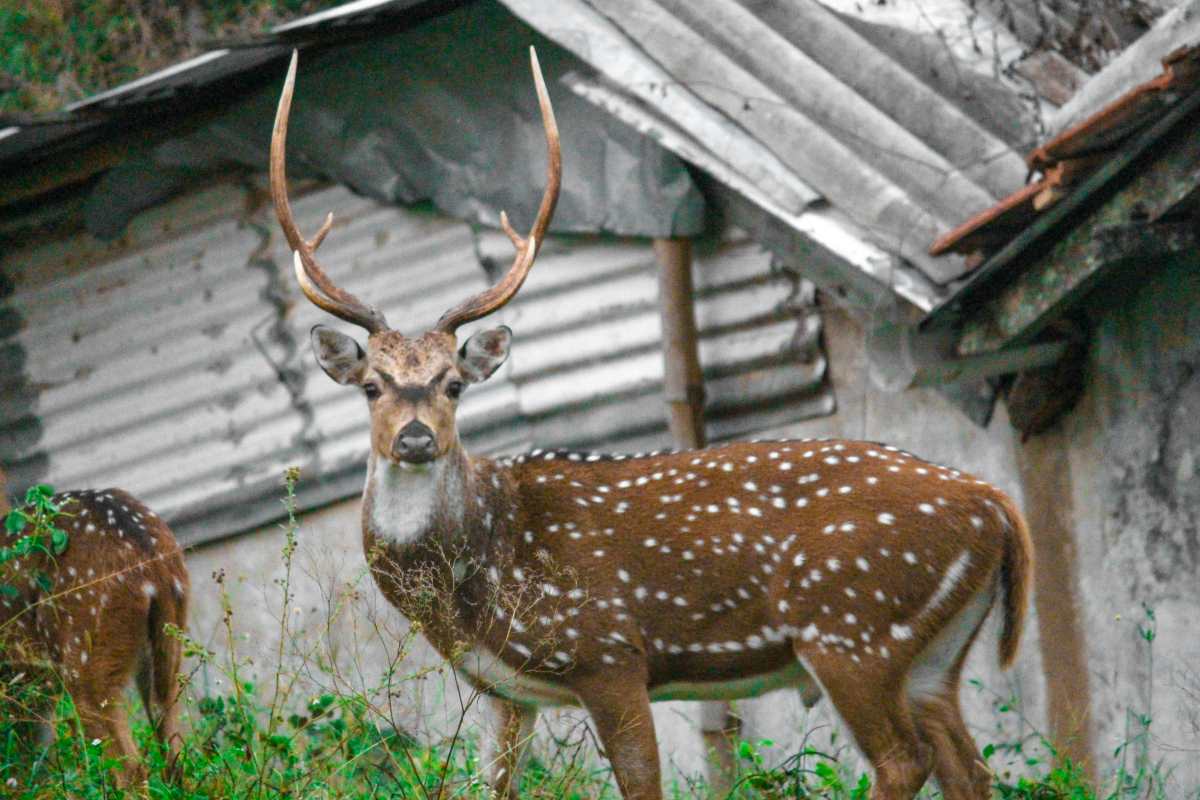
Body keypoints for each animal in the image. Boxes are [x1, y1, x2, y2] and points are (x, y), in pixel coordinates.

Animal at [270, 48, 1032, 800]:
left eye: (453, 384)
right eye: (372, 386)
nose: (416, 437)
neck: (476, 572)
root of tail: (997, 506)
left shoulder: (608, 652)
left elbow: (641, 781)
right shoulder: (502, 691)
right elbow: (492, 784)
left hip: (851, 623)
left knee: (906, 758)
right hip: (931, 651)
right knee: (969, 765)